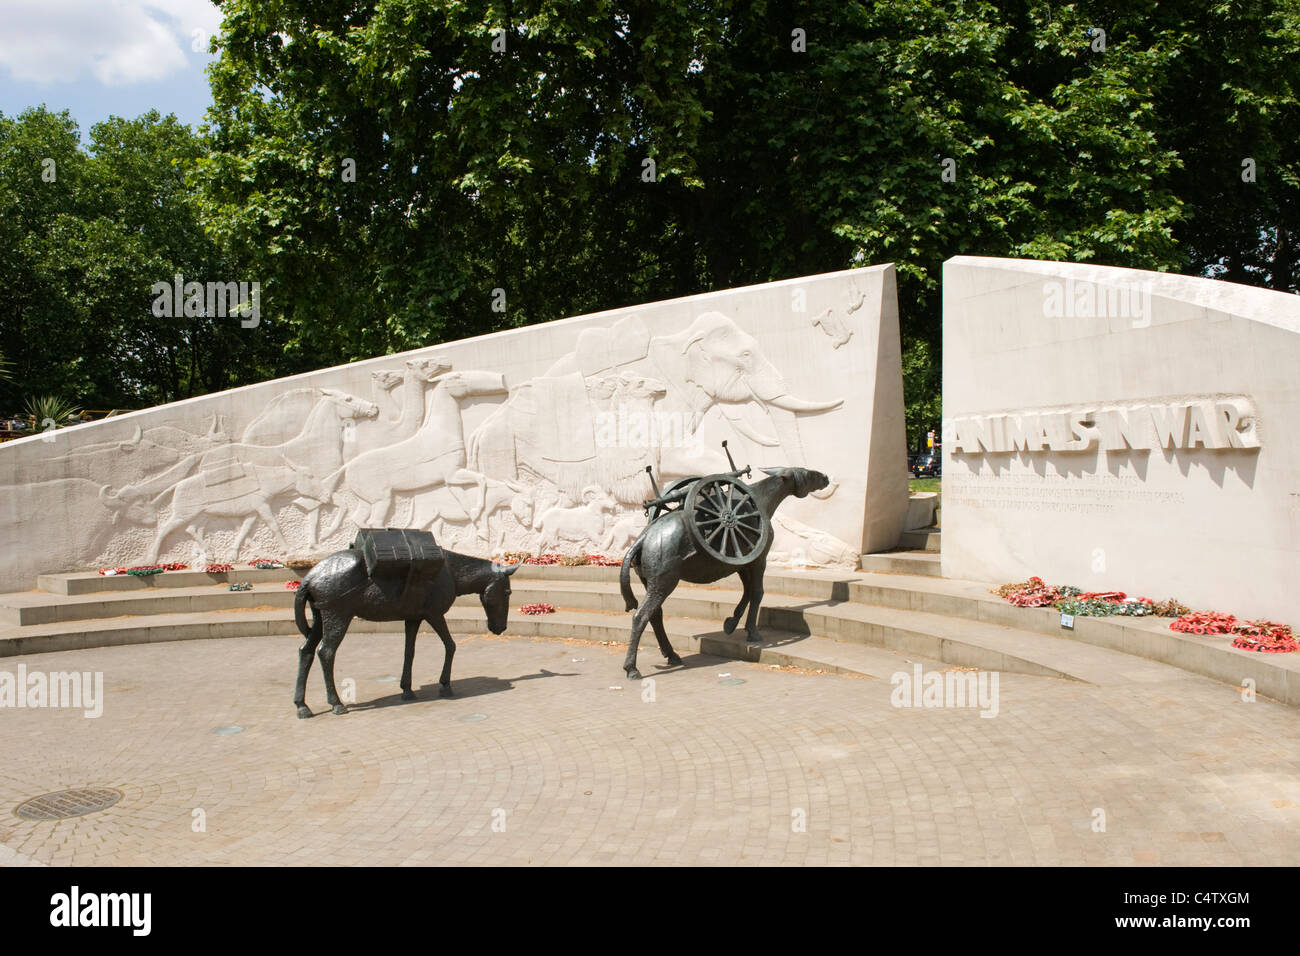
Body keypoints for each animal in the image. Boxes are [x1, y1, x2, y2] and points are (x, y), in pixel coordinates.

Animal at [616, 465, 821, 681]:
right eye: (807, 473)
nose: (825, 477)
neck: (760, 501)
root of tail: (645, 536)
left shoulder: (743, 563)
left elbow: (747, 592)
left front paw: (731, 623)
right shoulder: (758, 561)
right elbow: (757, 593)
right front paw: (752, 632)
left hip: (650, 581)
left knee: (655, 615)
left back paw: (672, 655)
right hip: (664, 582)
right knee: (640, 616)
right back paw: (632, 668)